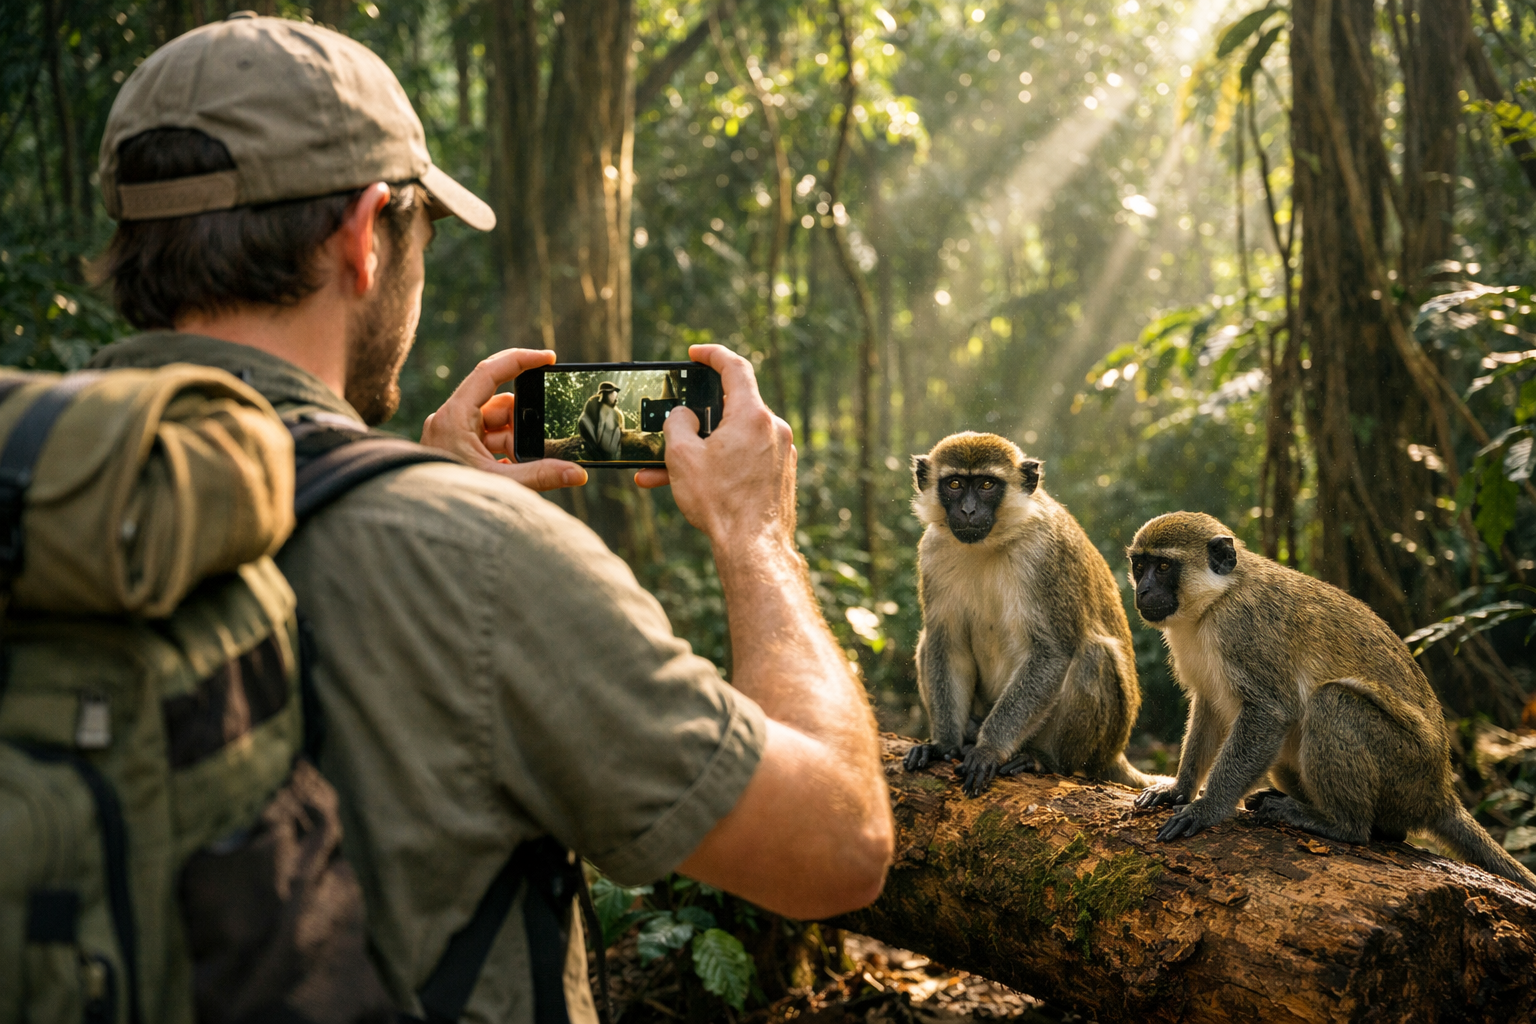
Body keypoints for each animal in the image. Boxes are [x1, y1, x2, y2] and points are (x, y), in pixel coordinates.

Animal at [902, 431, 1160, 797]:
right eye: (954, 484)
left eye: (986, 484)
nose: (968, 510)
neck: (990, 544)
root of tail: (1116, 752)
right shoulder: (933, 550)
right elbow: (945, 645)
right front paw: (944, 745)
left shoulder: (1046, 555)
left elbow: (1052, 653)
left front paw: (989, 749)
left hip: (1101, 741)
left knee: (1092, 655)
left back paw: (1045, 760)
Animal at [1127, 511, 1536, 893]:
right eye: (1140, 566)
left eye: (1164, 567)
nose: (1142, 593)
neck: (1214, 601)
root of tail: (1440, 791)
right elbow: (1210, 707)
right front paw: (1178, 788)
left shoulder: (1242, 629)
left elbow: (1269, 713)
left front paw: (1208, 807)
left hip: (1406, 771)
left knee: (1333, 702)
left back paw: (1340, 824)